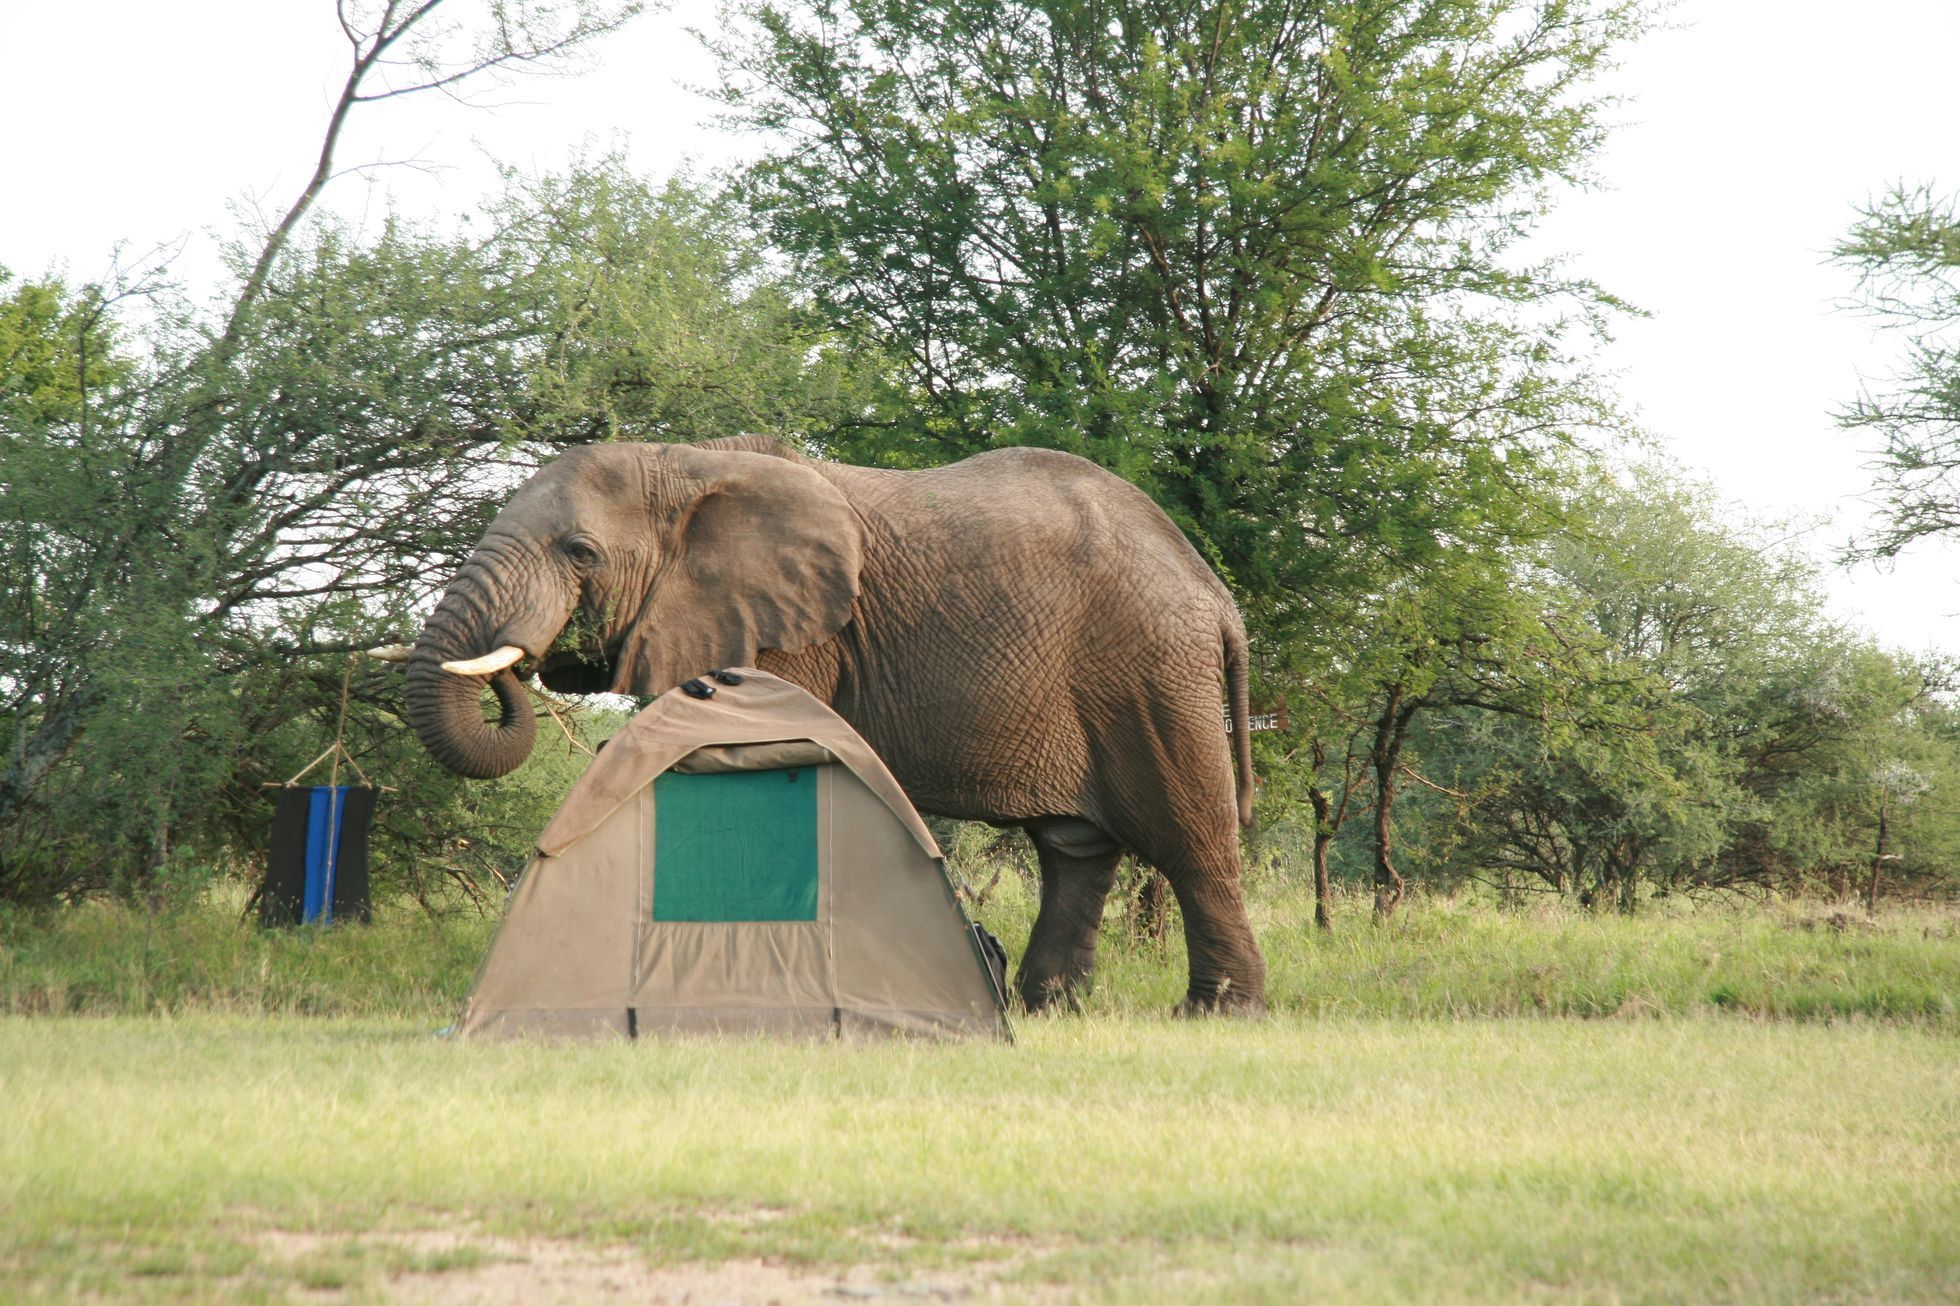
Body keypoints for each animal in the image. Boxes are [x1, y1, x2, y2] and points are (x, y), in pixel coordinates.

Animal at [390, 435, 1262, 1004]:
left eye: (580, 552)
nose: (524, 663)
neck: (684, 464)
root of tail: (1217, 595)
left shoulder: (793, 634)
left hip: (1152, 674)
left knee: (1193, 844)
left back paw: (1216, 1011)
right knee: (1074, 850)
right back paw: (1048, 1006)